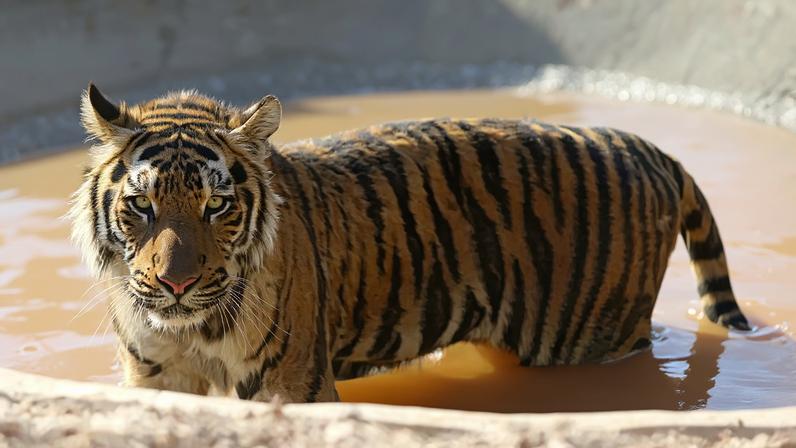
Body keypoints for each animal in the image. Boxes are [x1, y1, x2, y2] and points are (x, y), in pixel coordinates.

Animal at [70, 83, 750, 403]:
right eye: (141, 206)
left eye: (217, 205)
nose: (175, 282)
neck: (194, 331)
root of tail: (649, 149)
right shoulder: (154, 379)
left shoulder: (296, 382)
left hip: (587, 338)